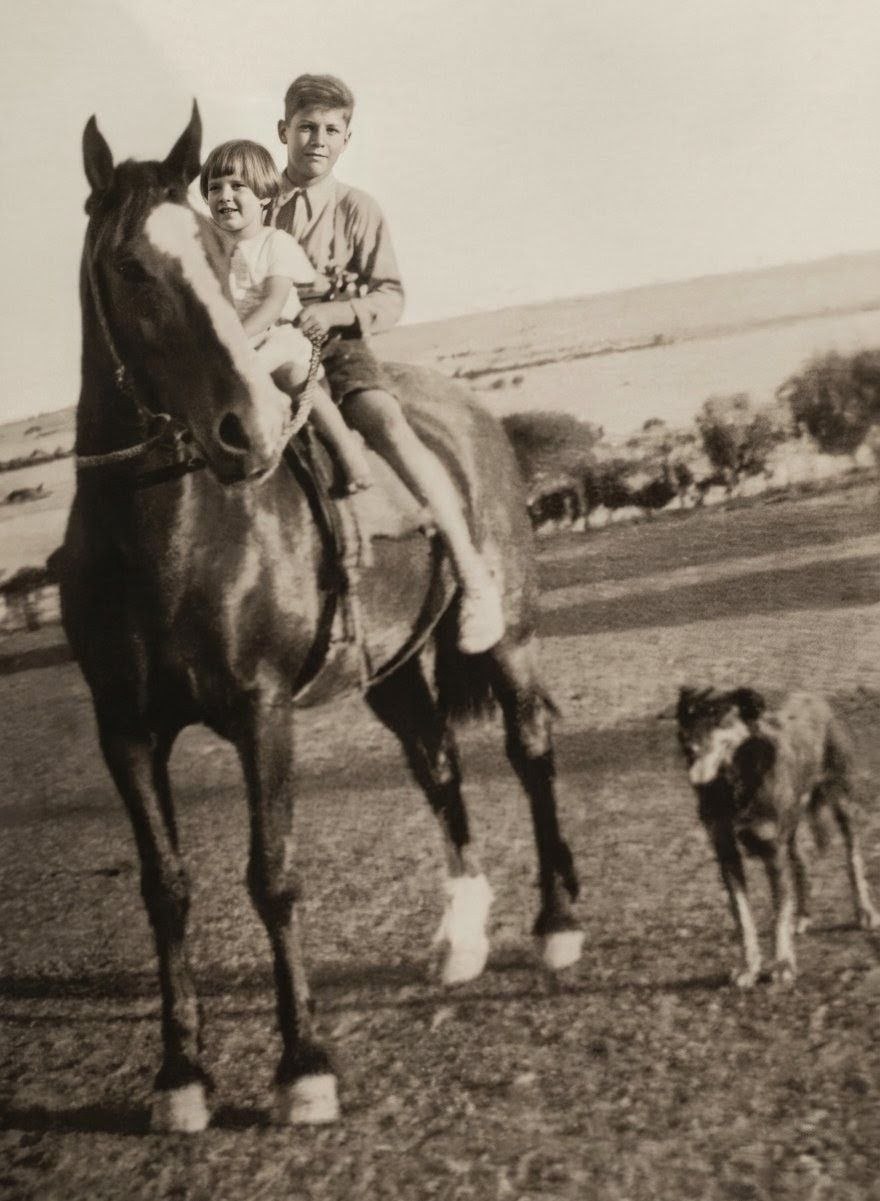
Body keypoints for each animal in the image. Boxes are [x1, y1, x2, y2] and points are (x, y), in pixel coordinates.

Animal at [60, 103, 583, 1132]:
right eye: (132, 267)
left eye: (219, 253)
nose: (245, 431)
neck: (168, 537)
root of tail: (473, 416)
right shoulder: (125, 730)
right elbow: (165, 888)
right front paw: (180, 1076)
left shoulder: (261, 714)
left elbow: (274, 875)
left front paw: (304, 1064)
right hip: (390, 672)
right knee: (440, 767)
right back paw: (461, 939)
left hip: (512, 638)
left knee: (529, 750)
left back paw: (556, 924)